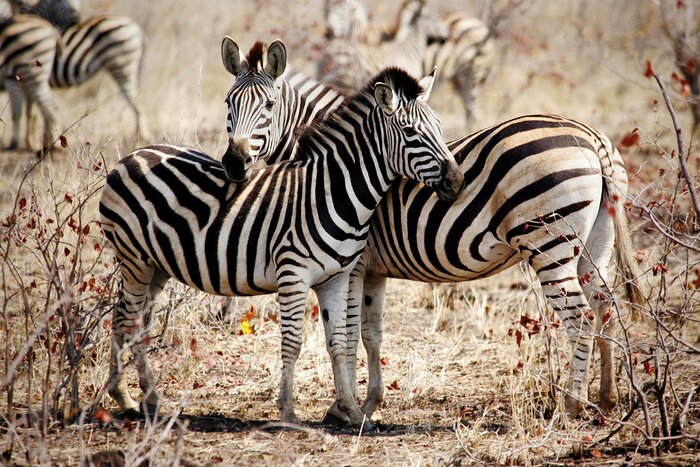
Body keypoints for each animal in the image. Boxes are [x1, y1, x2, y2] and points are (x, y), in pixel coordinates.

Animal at [1, 12, 145, 153]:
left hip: (121, 67)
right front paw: (29, 143)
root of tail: (134, 26)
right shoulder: (23, 83)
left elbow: (17, 112)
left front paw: (16, 144)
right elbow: (30, 113)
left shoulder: (12, 77)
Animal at [98, 67, 464, 427]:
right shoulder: (293, 274)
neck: (334, 193)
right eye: (410, 133)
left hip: (156, 265)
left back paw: (137, 397)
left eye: (440, 127)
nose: (457, 182)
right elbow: (293, 343)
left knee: (130, 319)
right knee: (129, 321)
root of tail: (135, 153)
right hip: (134, 258)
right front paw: (288, 413)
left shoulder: (337, 277)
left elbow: (338, 342)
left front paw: (352, 411)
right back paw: (136, 398)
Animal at [219, 41, 645, 417]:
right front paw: (368, 403)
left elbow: (349, 332)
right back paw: (606, 398)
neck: (334, 173)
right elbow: (371, 334)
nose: (234, 164)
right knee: (606, 307)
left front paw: (343, 407)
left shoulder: (352, 264)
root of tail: (592, 137)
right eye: (228, 104)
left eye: (269, 106)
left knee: (581, 318)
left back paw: (572, 405)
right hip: (594, 245)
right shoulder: (373, 270)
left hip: (550, 245)